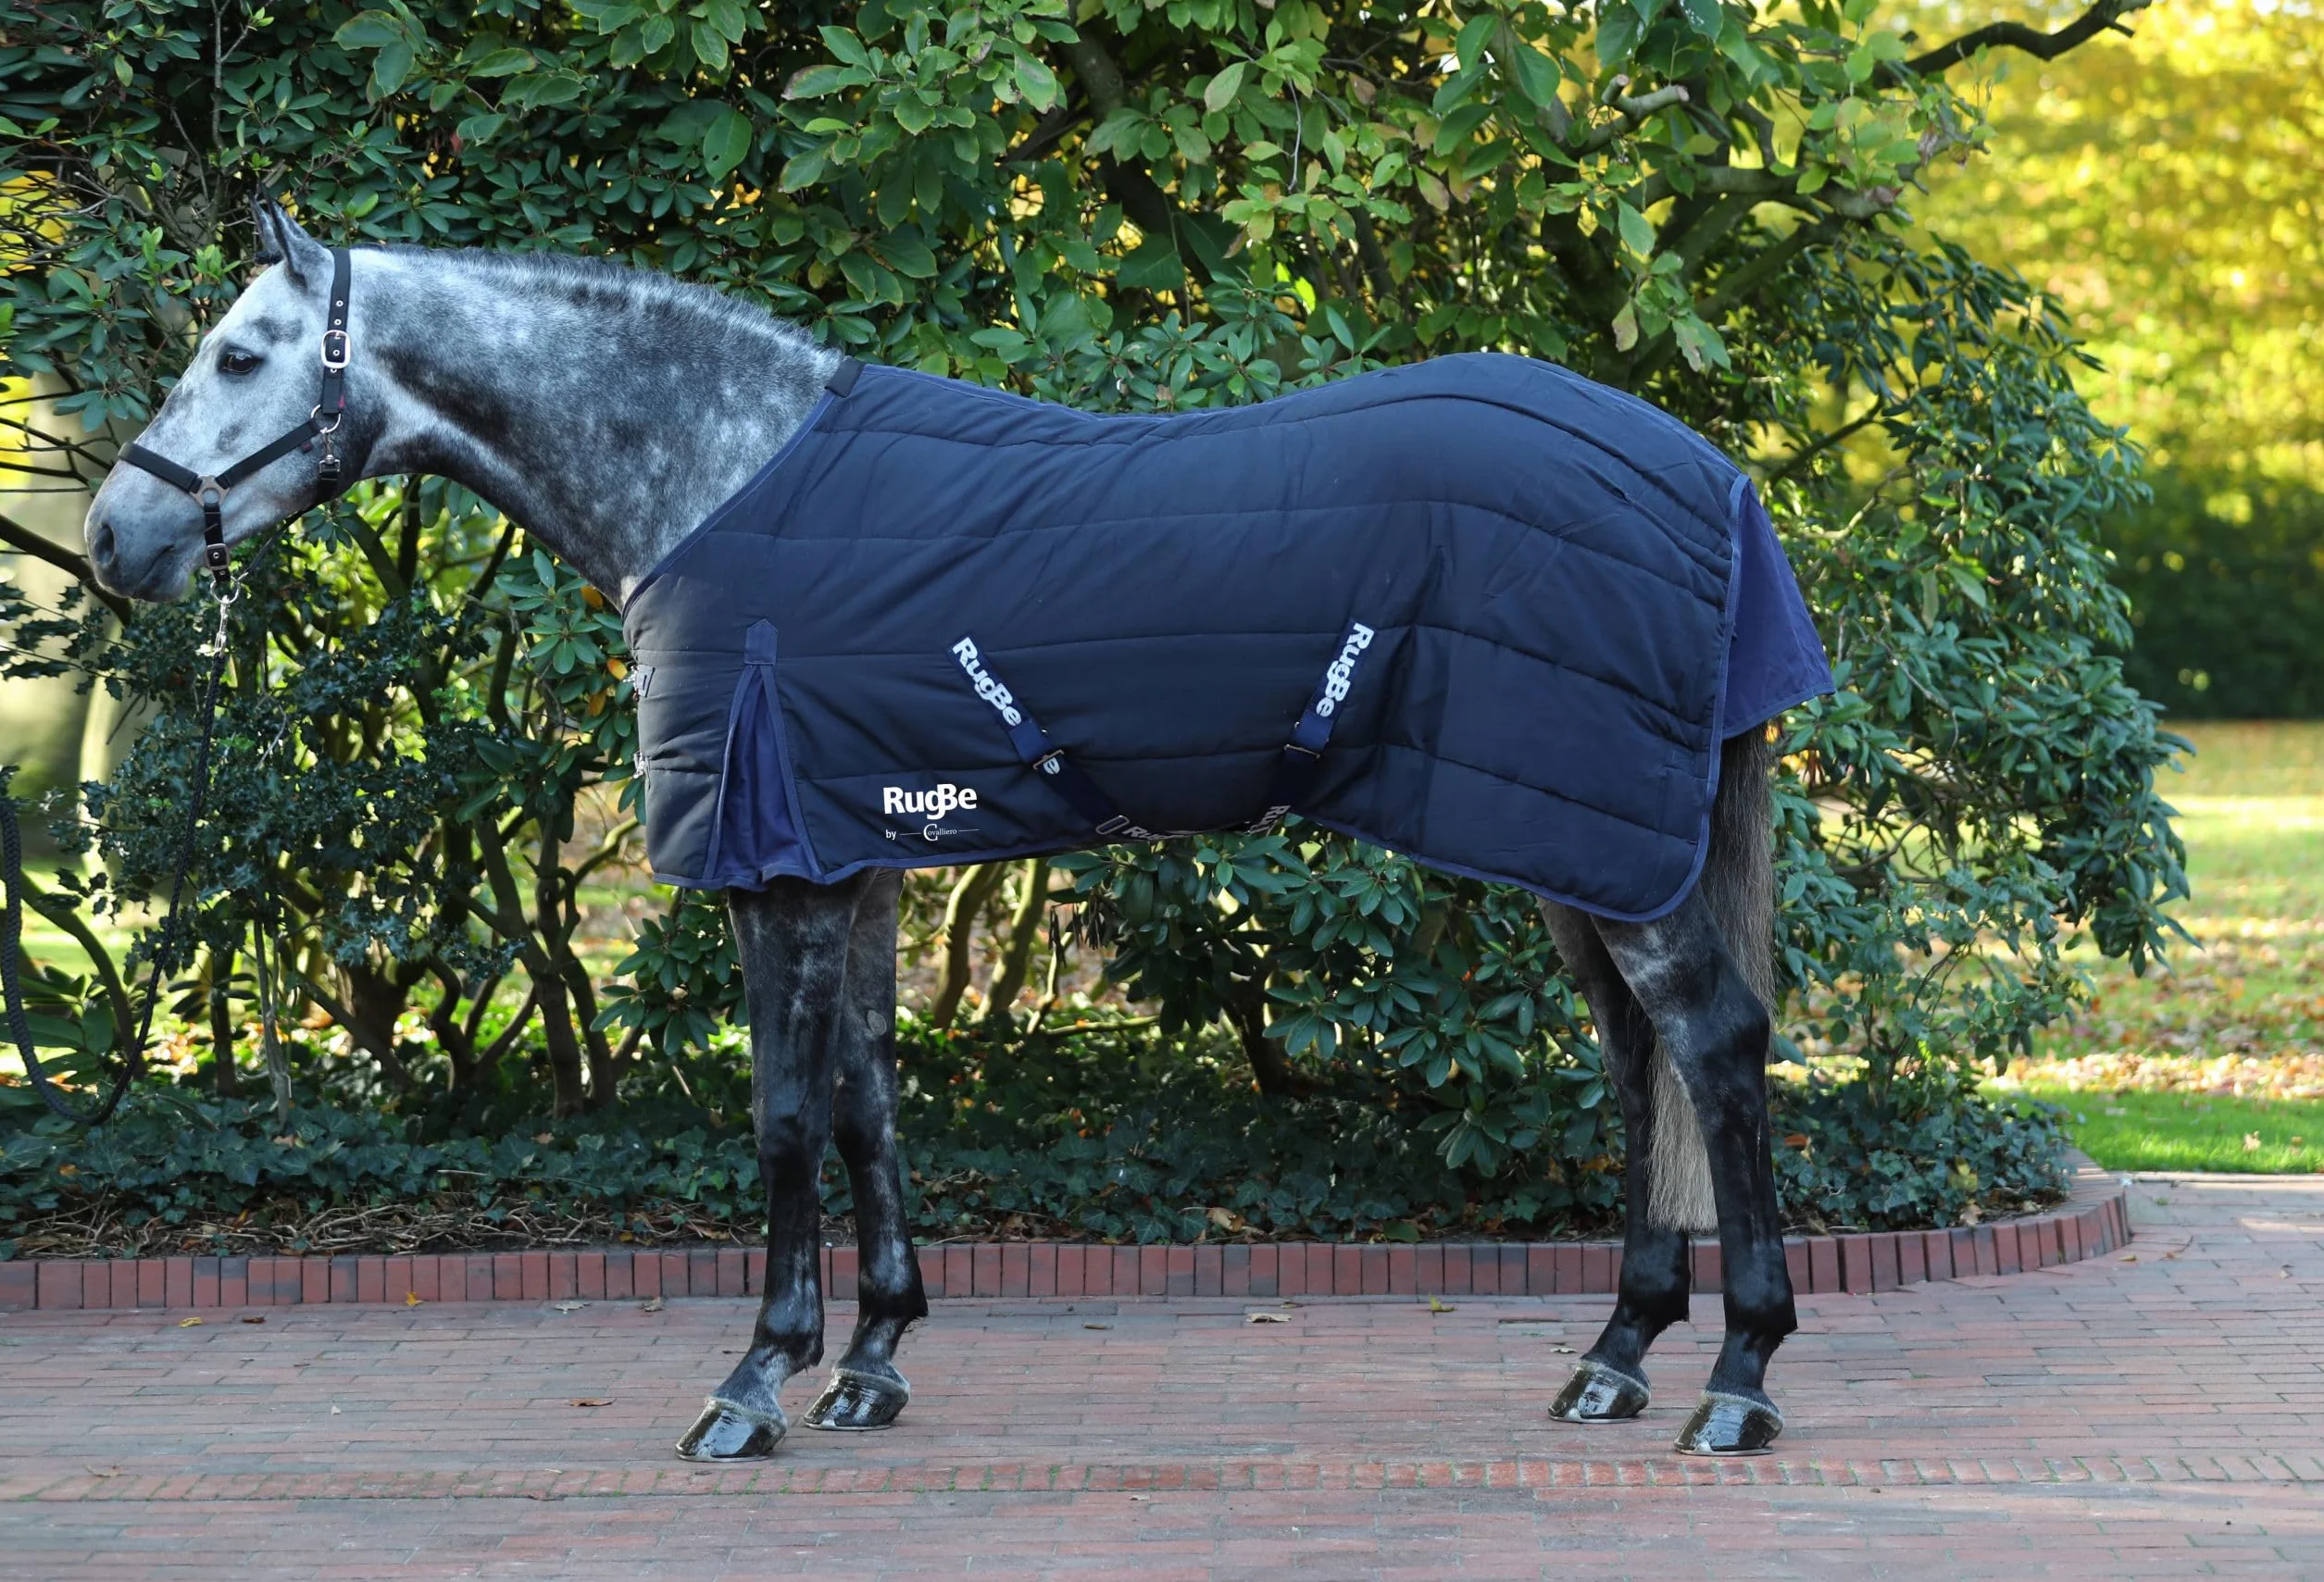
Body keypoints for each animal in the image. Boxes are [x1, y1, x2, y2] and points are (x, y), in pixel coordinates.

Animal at [85, 198, 1811, 1460]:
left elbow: (785, 1115)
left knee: (1715, 1046)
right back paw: (1618, 1354)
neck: (717, 474)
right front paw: (870, 1359)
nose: (115, 537)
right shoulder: (847, 856)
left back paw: (1738, 1376)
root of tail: (1707, 473)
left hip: (1605, 845)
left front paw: (755, 1380)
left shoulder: (773, 870)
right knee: (1640, 1062)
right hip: (1573, 839)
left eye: (238, 354)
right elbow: (866, 1100)